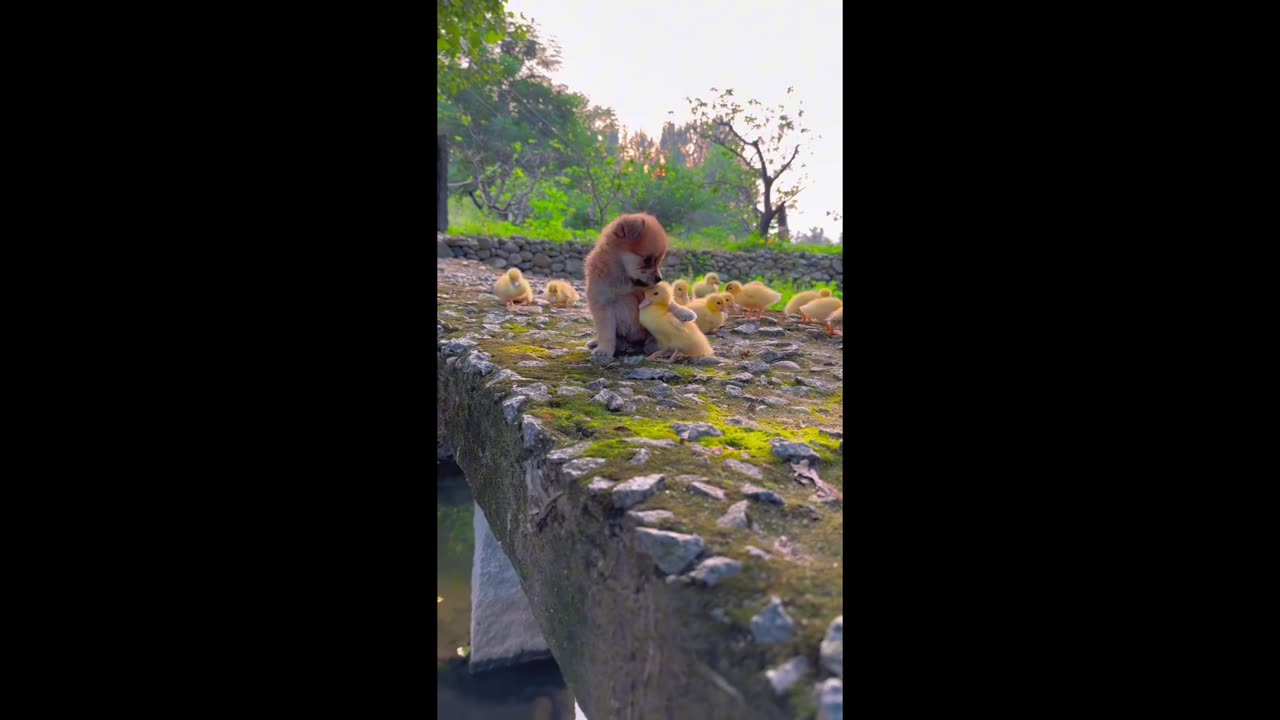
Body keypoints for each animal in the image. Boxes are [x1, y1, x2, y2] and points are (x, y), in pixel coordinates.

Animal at [586, 212, 675, 358]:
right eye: (647, 260)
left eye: (659, 261)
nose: (659, 279)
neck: (625, 282)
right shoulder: (603, 305)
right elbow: (606, 333)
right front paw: (604, 350)